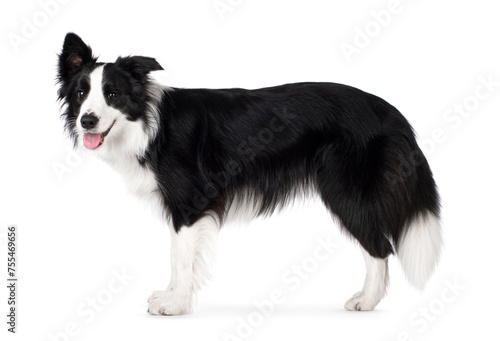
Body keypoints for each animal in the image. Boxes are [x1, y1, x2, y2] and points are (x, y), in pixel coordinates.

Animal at [57, 33, 442, 314]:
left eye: (113, 94)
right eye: (81, 93)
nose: (87, 120)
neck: (148, 126)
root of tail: (387, 109)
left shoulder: (189, 202)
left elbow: (180, 257)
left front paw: (174, 305)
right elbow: (180, 258)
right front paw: (171, 296)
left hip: (344, 190)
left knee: (379, 246)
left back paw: (366, 301)